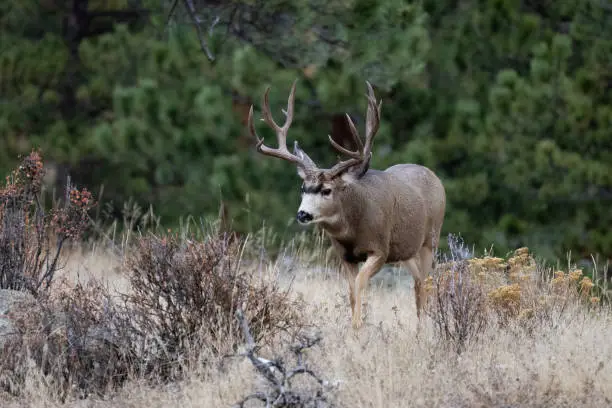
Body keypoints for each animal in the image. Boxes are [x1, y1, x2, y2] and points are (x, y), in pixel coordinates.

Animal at [246, 79, 448, 328]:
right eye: (303, 188)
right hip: (406, 251)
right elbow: (351, 291)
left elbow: (361, 283)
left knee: (426, 282)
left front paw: (358, 327)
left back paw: (424, 329)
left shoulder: (380, 248)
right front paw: (354, 328)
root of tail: (434, 177)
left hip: (430, 240)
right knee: (418, 283)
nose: (303, 214)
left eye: (326, 190)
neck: (353, 230)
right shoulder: (344, 255)